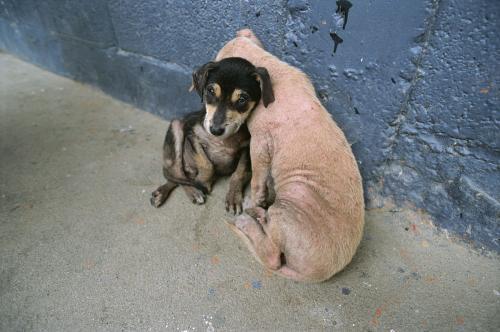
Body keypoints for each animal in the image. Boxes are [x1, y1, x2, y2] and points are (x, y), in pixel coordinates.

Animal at [150, 56, 276, 213]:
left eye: (242, 99)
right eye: (210, 91)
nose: (215, 130)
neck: (223, 140)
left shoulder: (247, 148)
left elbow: (238, 173)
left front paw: (233, 197)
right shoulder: (192, 135)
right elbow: (206, 165)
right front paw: (203, 183)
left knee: (179, 177)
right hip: (176, 127)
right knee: (177, 173)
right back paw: (181, 191)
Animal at [218, 29, 364, 282]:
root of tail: (317, 274)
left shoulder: (261, 139)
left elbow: (258, 176)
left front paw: (253, 198)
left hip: (289, 209)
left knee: (273, 257)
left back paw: (247, 217)